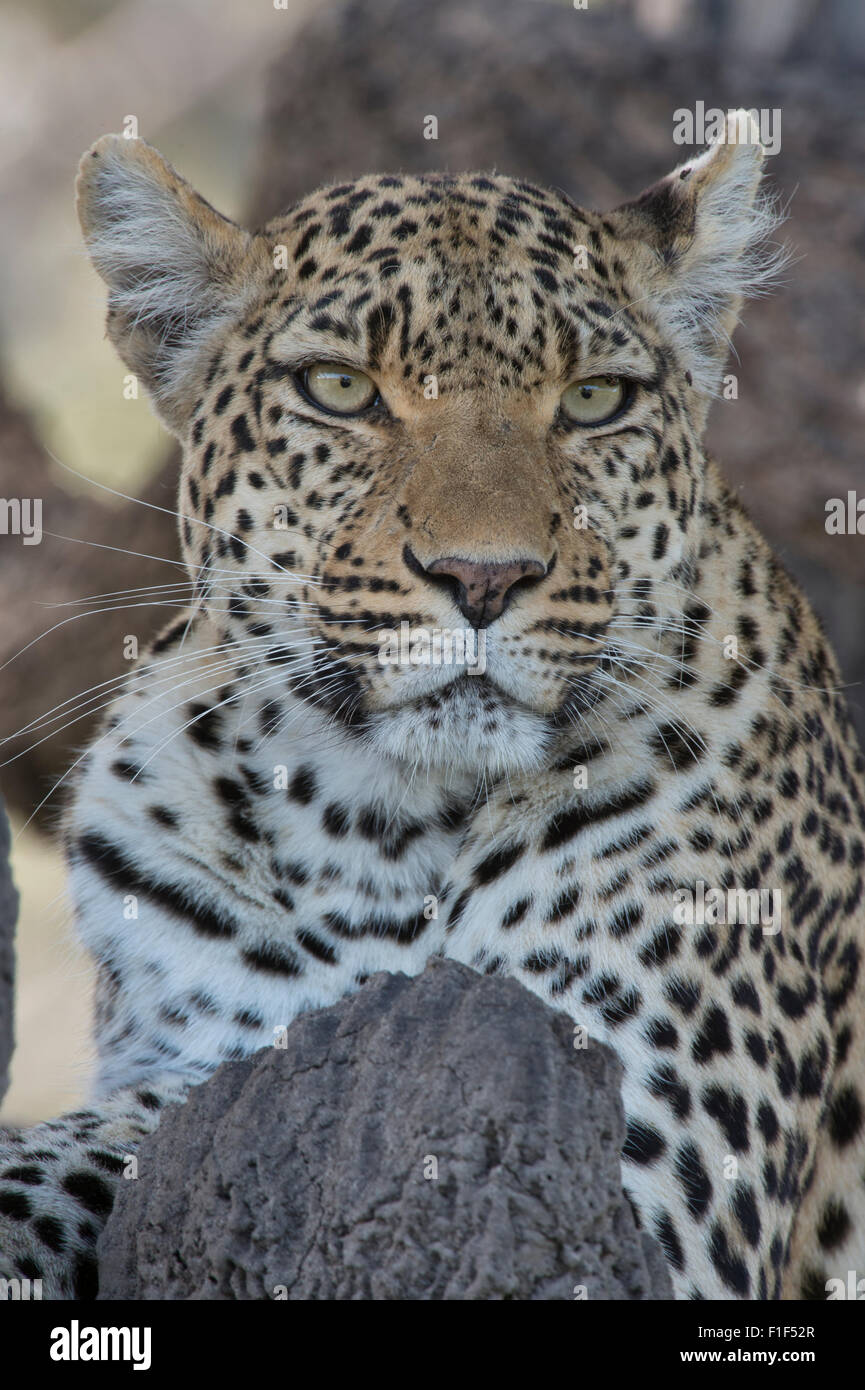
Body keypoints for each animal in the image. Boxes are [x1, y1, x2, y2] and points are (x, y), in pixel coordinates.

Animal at [0, 109, 863, 1302]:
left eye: (593, 399)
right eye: (339, 390)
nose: (484, 577)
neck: (368, 819)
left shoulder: (621, 1178)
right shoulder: (199, 1065)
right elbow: (86, 1150)